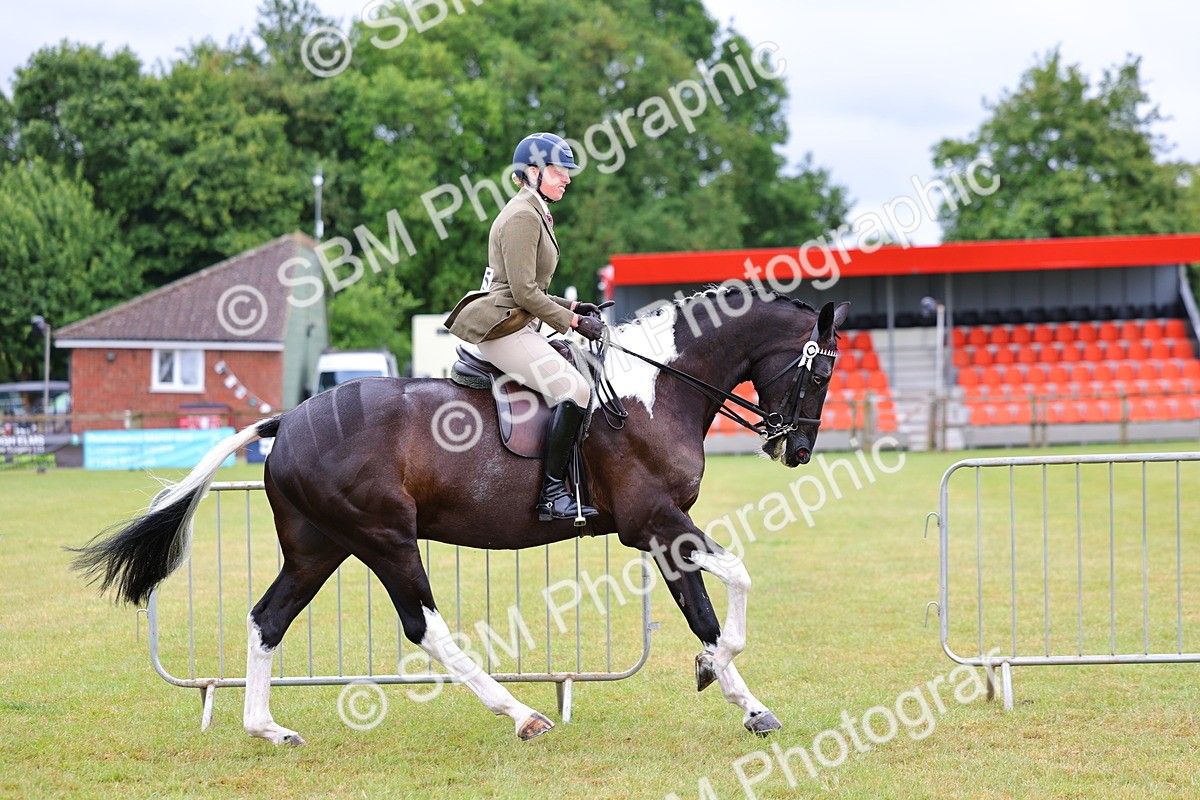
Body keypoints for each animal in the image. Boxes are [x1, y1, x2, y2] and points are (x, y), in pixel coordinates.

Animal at [71, 288, 849, 746]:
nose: (798, 448)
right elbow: (736, 580)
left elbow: (705, 612)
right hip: (384, 538)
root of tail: (287, 419)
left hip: (320, 546)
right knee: (426, 628)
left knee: (269, 619)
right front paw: (715, 670)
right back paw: (522, 714)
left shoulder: (664, 532)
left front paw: (737, 695)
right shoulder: (654, 522)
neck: (655, 389)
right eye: (820, 372)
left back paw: (267, 727)